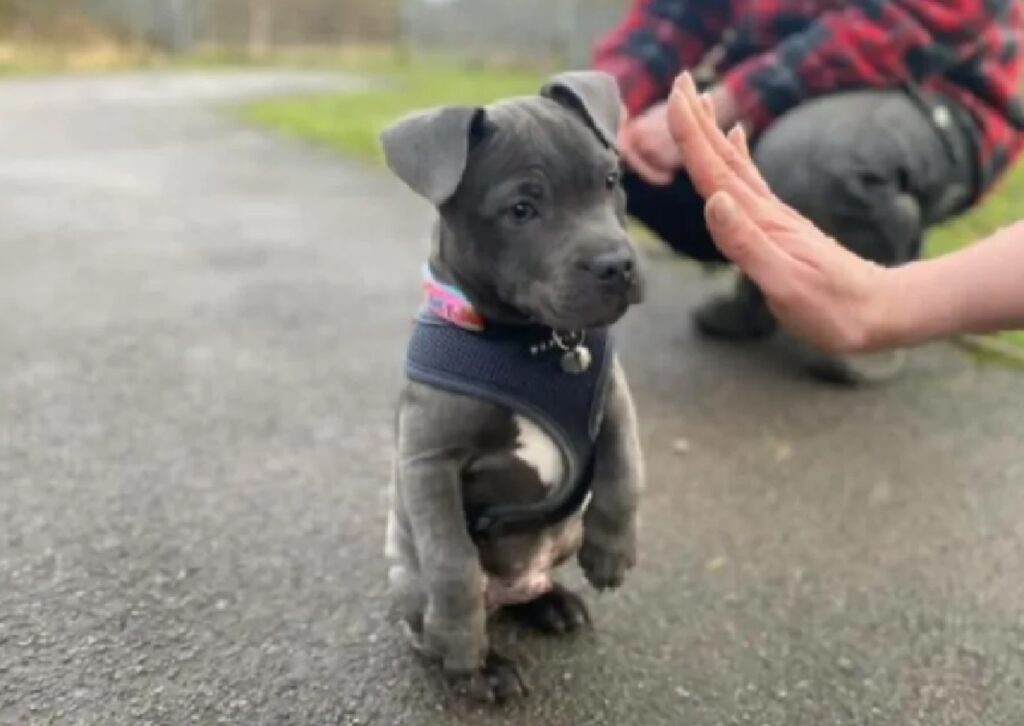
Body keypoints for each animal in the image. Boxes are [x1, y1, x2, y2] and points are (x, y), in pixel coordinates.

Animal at [380, 72, 643, 700]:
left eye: (611, 181)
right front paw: (463, 645)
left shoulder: (615, 400)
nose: (617, 265)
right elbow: (452, 559)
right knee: (436, 614)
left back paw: (554, 603)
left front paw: (611, 552)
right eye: (522, 210)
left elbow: (625, 473)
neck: (534, 344)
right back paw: (481, 666)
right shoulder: (428, 462)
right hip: (406, 575)